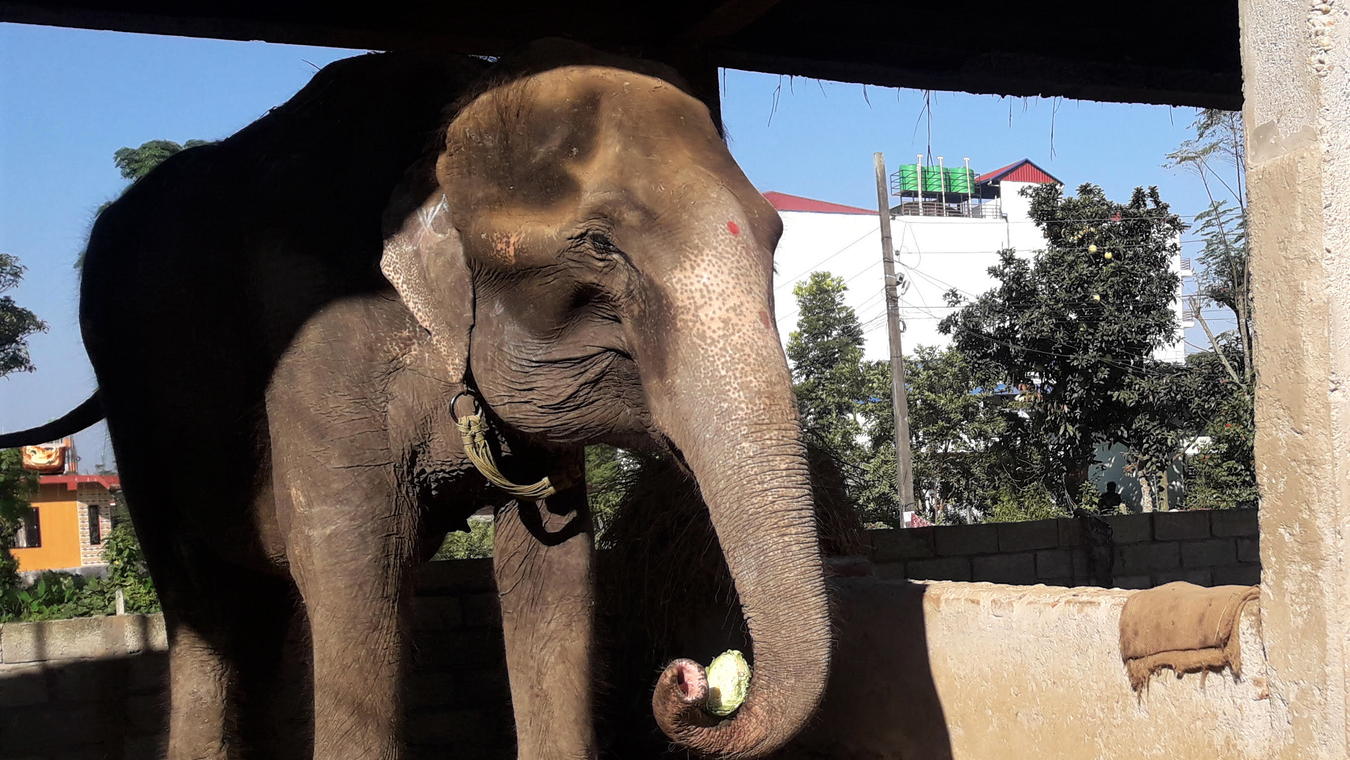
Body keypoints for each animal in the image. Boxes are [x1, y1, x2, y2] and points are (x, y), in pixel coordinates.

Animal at [2, 40, 831, 760]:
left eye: (776, 237)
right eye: (600, 245)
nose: (690, 679)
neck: (454, 111)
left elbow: (553, 572)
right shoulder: (320, 352)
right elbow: (351, 566)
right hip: (136, 413)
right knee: (199, 603)